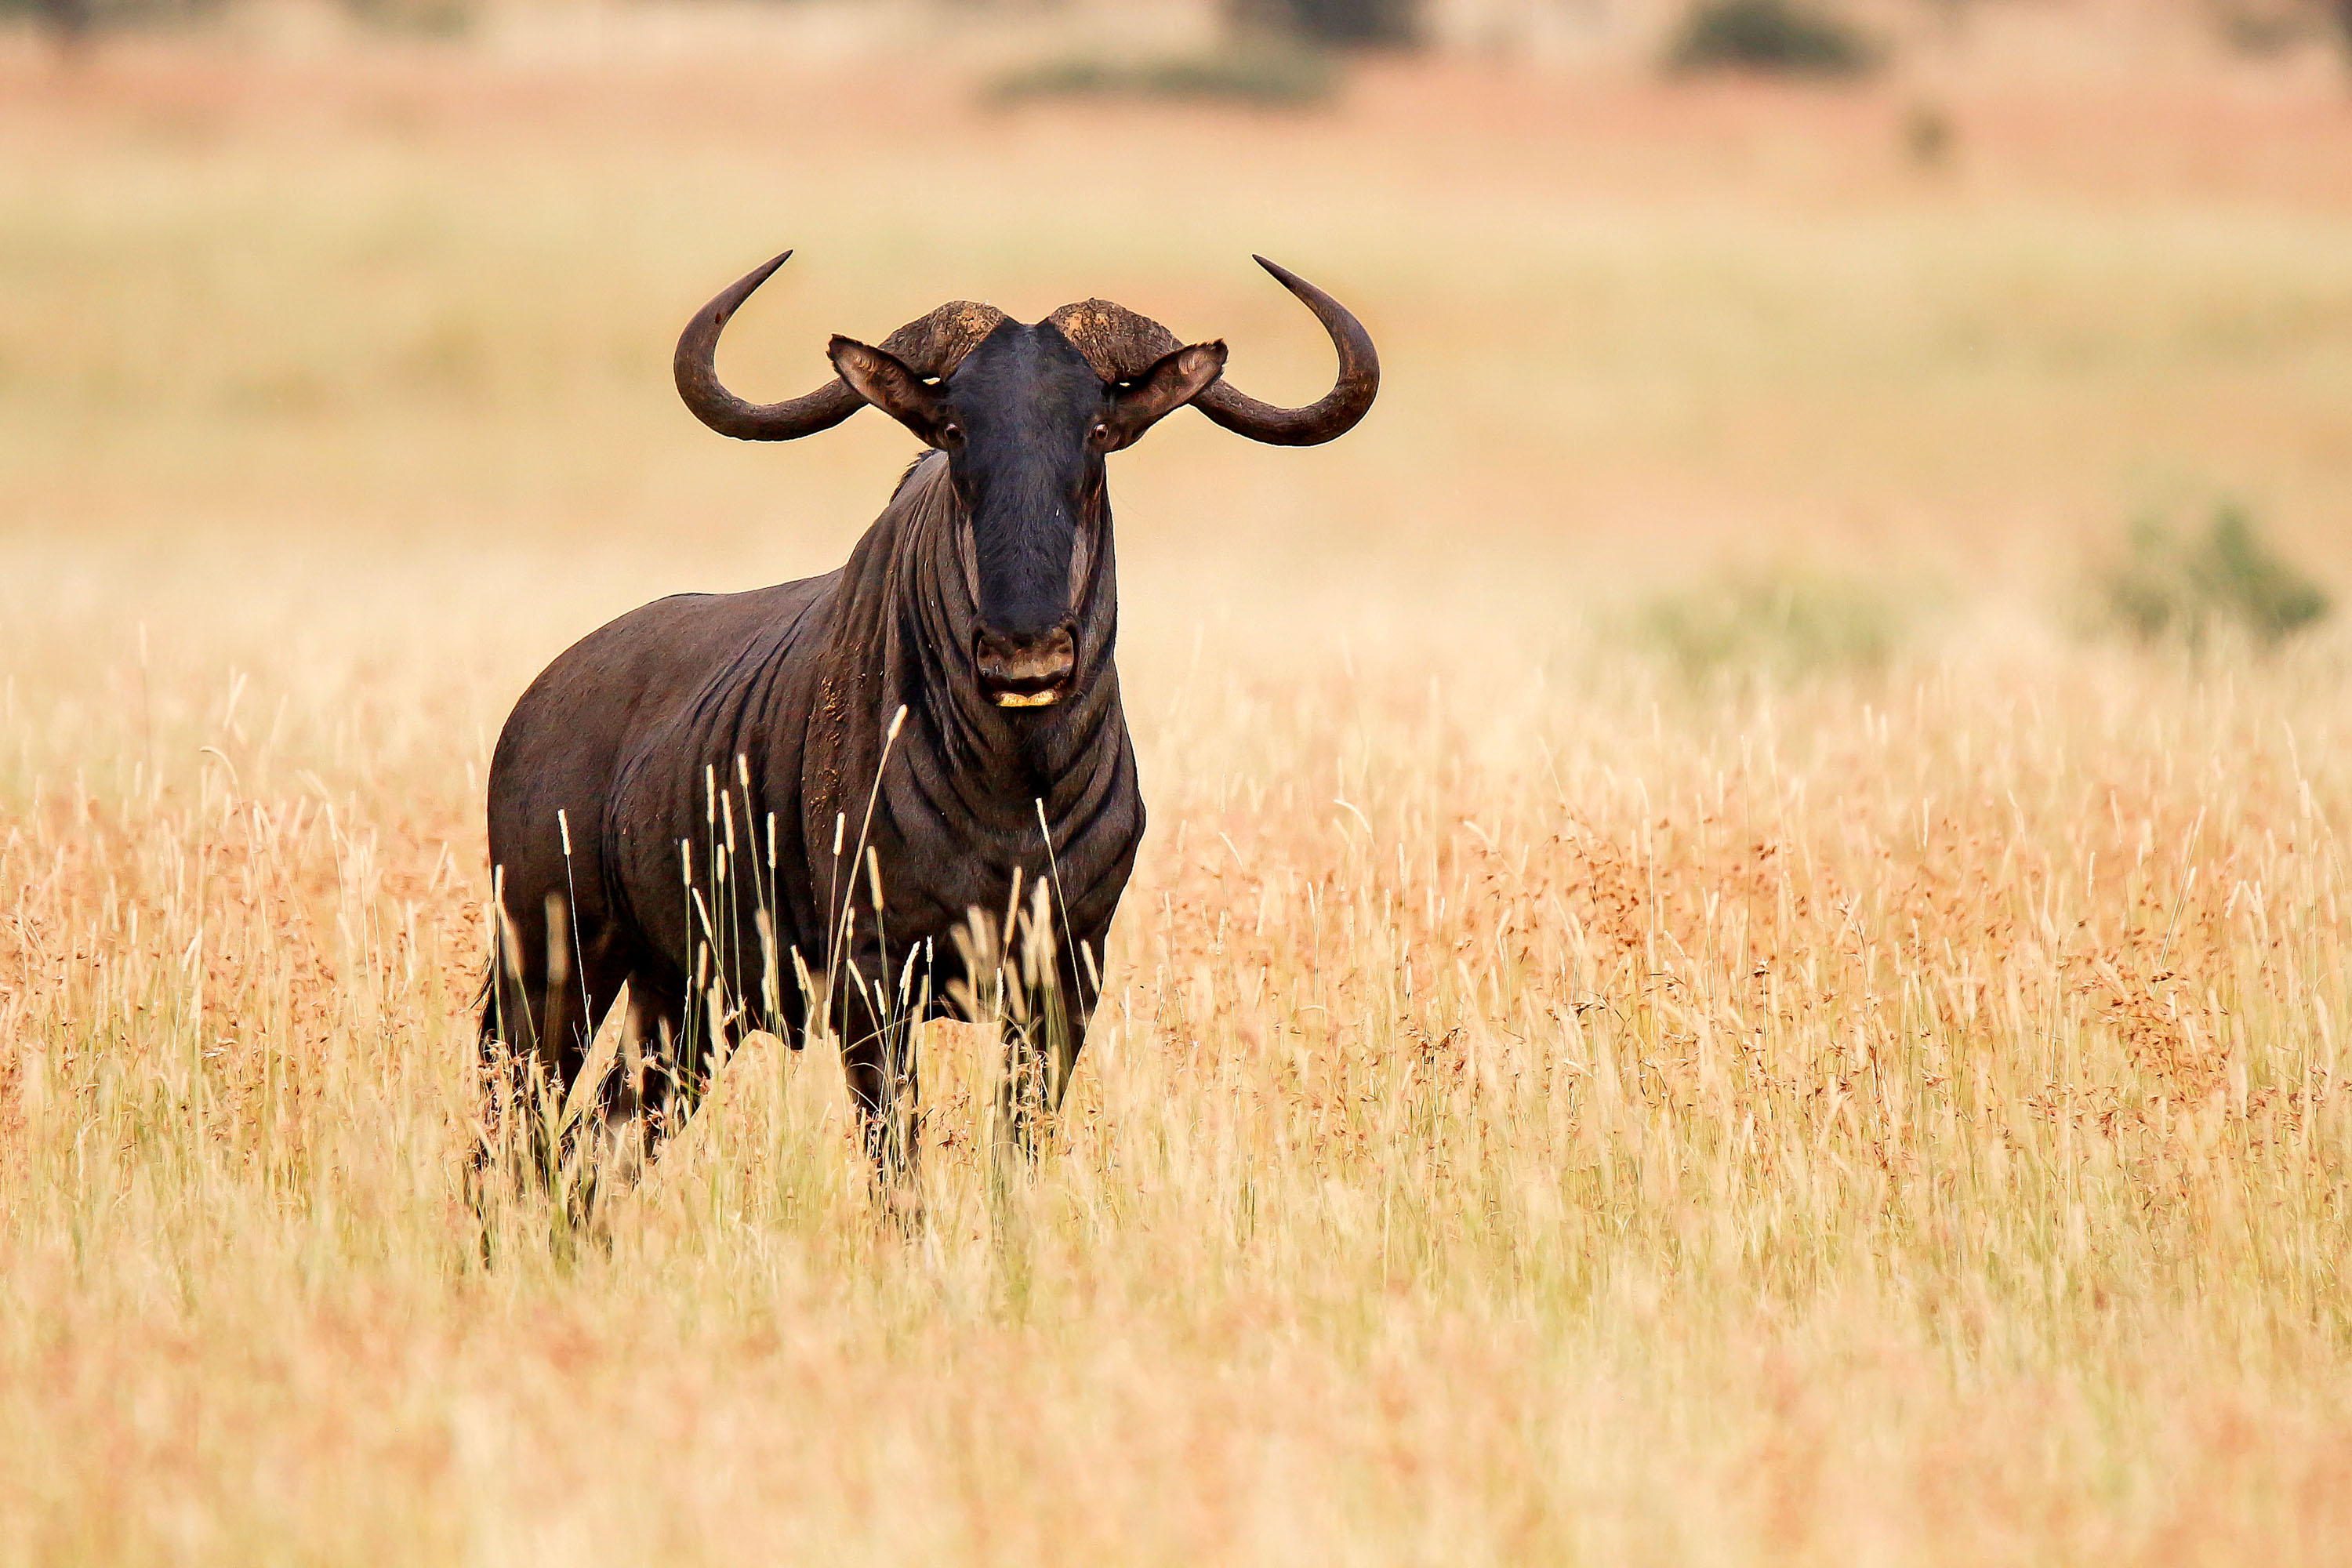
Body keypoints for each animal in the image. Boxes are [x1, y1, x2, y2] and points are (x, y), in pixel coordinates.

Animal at [479, 249, 1377, 1192]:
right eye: (953, 429)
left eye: (1097, 429)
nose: (1025, 656)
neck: (1016, 786)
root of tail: (538, 703)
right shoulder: (874, 982)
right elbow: (898, 1171)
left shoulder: (1062, 980)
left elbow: (1014, 1159)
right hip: (548, 975)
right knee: (507, 1146)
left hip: (683, 1005)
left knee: (592, 1150)